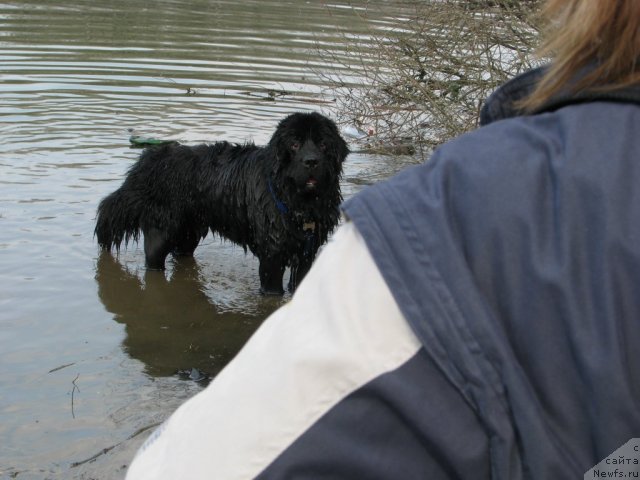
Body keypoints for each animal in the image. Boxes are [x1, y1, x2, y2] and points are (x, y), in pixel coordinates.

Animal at [94, 112, 350, 294]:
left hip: (190, 230)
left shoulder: (308, 252)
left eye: (323, 144)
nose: (311, 161)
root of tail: (147, 159)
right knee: (154, 260)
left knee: (181, 252)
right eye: (294, 144)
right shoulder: (272, 255)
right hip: (161, 229)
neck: (297, 203)